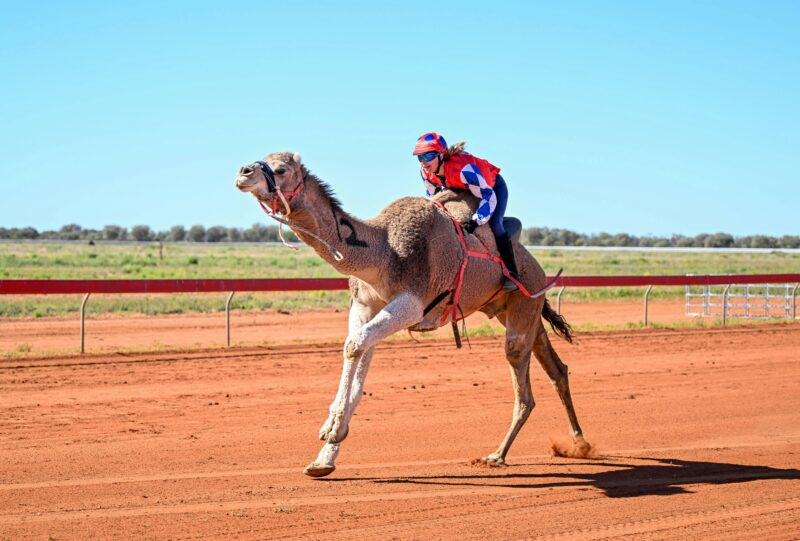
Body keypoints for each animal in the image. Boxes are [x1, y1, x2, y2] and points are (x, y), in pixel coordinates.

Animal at [234, 151, 590, 478]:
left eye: (281, 169)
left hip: (523, 301)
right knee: (556, 369)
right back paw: (579, 443)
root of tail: (538, 269)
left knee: (522, 378)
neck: (382, 251)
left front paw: (331, 430)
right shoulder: (364, 305)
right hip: (517, 309)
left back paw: (497, 455)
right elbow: (357, 352)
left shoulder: (412, 303)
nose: (243, 172)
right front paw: (325, 457)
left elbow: (353, 344)